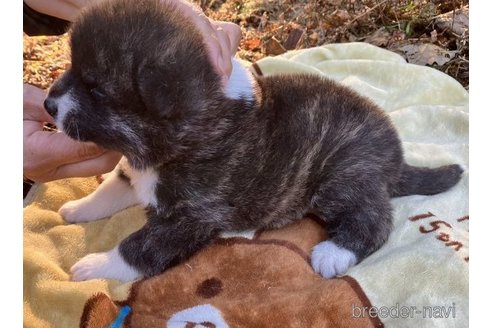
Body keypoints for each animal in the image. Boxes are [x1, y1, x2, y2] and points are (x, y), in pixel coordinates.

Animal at [42, 0, 462, 282]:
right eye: (72, 68)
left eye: (96, 89)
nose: (47, 104)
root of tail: (396, 156)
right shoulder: (139, 173)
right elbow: (111, 188)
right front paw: (78, 208)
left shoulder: (190, 217)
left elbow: (138, 248)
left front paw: (93, 266)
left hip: (343, 176)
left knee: (376, 218)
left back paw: (334, 252)